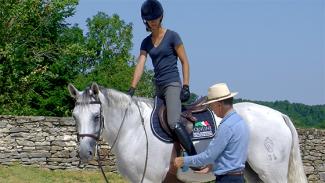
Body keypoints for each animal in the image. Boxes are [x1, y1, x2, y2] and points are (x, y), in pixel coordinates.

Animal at [67, 83, 306, 183]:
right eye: (74, 116)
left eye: (96, 116)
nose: (85, 153)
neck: (133, 129)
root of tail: (279, 116)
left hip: (272, 174)